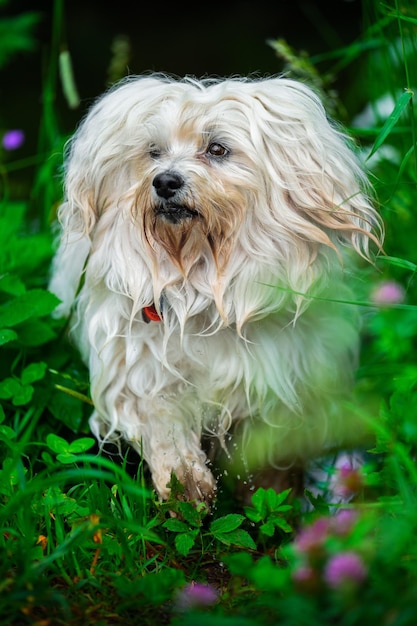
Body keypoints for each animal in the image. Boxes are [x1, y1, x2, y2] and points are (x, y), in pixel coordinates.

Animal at [48, 74, 380, 502]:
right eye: (153, 152)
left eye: (217, 149)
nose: (164, 181)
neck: (204, 285)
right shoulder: (141, 367)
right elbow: (163, 424)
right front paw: (184, 484)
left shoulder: (278, 383)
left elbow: (267, 459)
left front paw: (271, 496)